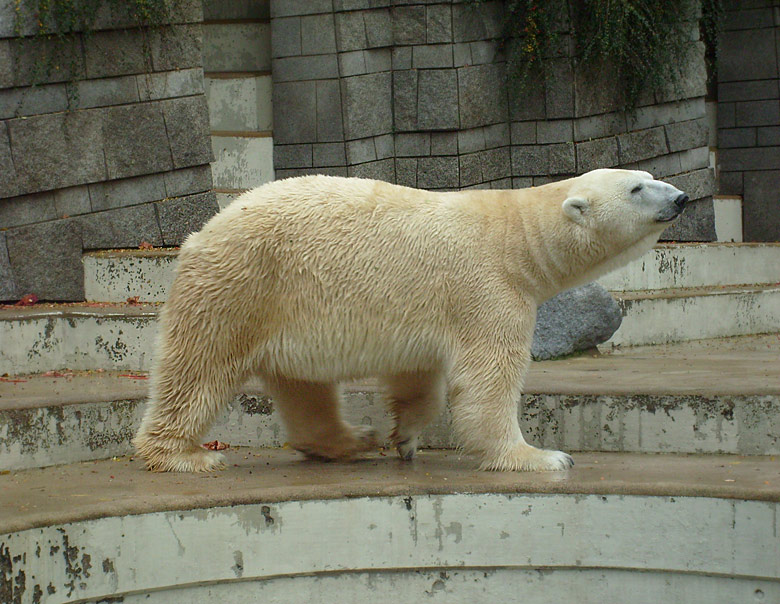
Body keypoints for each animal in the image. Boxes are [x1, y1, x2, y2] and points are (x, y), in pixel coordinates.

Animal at [134, 169, 688, 472]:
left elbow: (420, 376)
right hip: (241, 286)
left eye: (649, 177)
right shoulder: (488, 288)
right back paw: (184, 454)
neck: (516, 235)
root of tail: (200, 233)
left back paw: (351, 439)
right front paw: (540, 456)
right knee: (198, 368)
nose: (681, 197)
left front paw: (404, 437)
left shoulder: (432, 308)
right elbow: (486, 380)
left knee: (303, 385)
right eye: (637, 188)